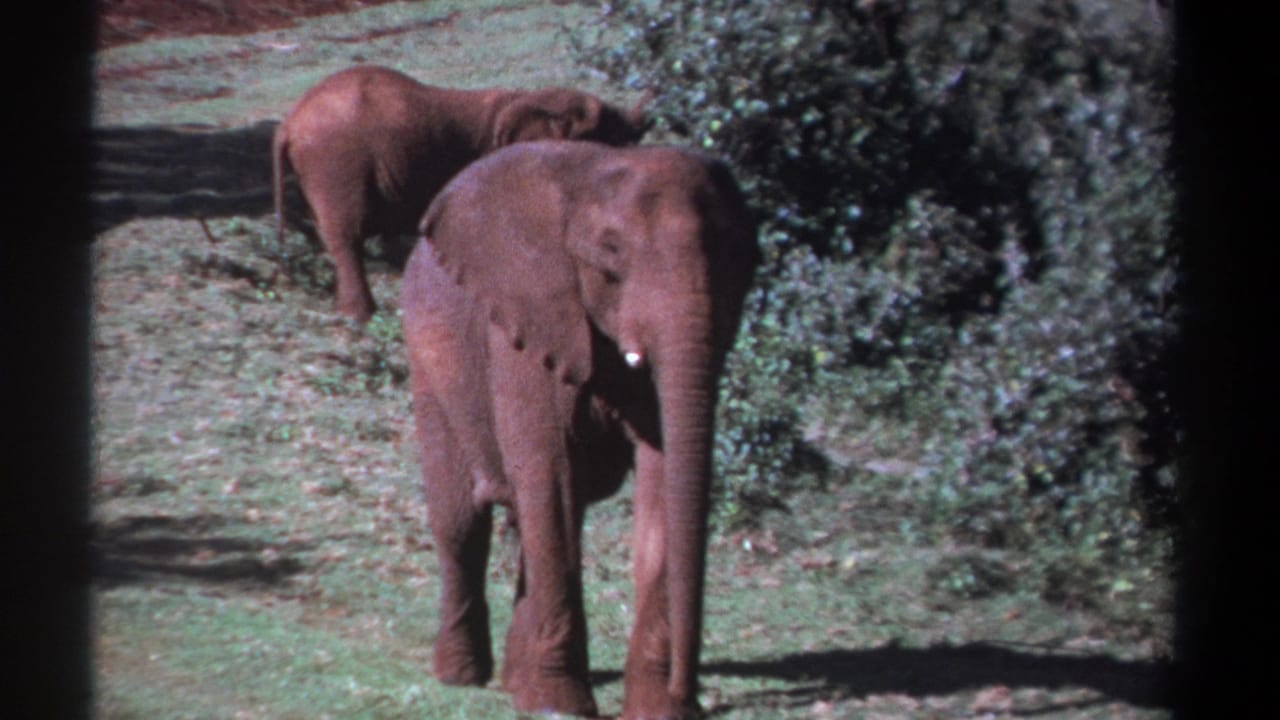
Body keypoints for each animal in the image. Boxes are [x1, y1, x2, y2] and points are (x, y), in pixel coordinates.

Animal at [401, 140, 760, 719]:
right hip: (427, 359)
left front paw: (657, 710)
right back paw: (462, 677)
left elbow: (660, 481)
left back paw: (514, 682)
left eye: (734, 258)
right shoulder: (528, 326)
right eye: (610, 255)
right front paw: (559, 705)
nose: (691, 696)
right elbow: (551, 476)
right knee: (461, 523)